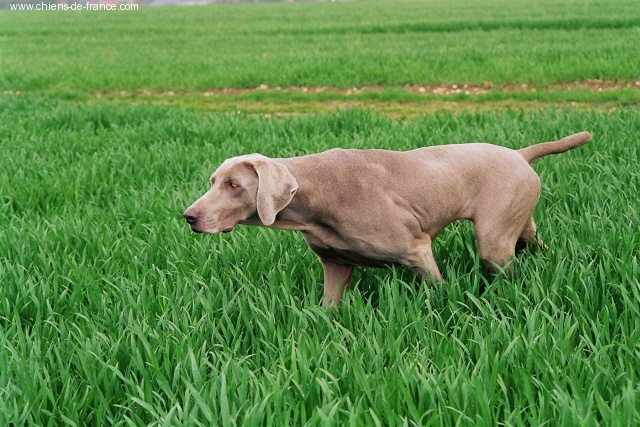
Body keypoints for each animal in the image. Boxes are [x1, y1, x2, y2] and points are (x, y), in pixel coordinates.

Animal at [184, 133, 592, 308]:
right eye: (212, 181)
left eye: (234, 185)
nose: (189, 217)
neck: (316, 201)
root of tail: (519, 154)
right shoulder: (335, 263)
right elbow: (328, 307)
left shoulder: (417, 248)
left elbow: (437, 291)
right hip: (519, 223)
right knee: (536, 244)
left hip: (494, 236)